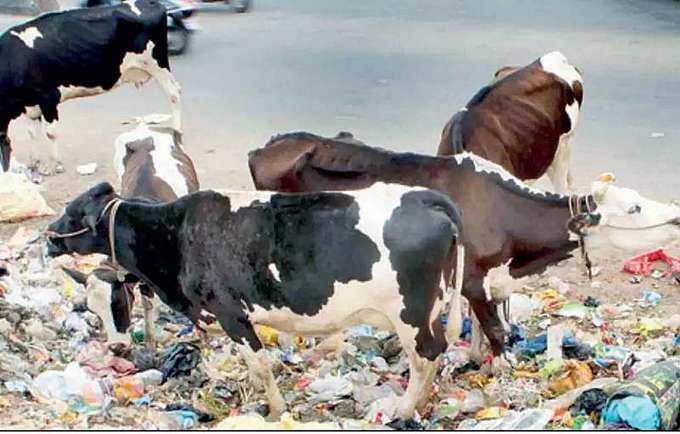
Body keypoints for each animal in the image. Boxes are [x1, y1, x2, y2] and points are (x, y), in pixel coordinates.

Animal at [0, 1, 181, 175]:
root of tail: (152, 3)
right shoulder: (30, 104)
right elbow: (32, 132)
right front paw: (33, 163)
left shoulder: (48, 97)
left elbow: (50, 133)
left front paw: (51, 167)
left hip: (158, 64)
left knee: (174, 93)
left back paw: (177, 134)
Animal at [43, 181, 468, 418]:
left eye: (73, 213)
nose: (48, 238)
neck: (175, 236)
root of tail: (426, 198)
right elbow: (252, 366)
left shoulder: (232, 315)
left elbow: (262, 366)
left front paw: (276, 409)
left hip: (411, 314)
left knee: (426, 358)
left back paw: (404, 410)